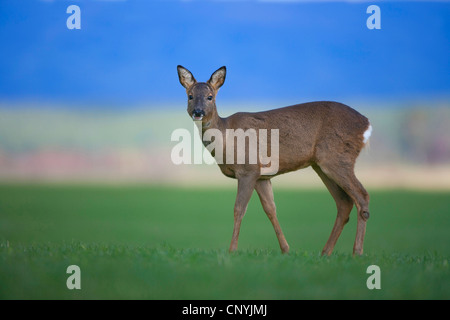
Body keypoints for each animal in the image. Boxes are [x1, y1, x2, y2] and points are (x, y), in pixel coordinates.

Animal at [178, 65, 370, 255]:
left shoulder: (249, 169)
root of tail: (366, 124)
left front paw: (232, 250)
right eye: (190, 96)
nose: (198, 112)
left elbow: (239, 209)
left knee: (362, 196)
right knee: (344, 202)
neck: (226, 137)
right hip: (321, 165)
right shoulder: (262, 177)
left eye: (210, 97)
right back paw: (325, 252)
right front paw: (286, 249)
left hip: (337, 158)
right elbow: (270, 209)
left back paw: (357, 252)